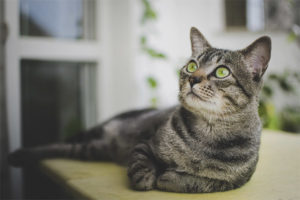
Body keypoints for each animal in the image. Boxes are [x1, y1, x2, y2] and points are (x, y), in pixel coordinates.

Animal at [9, 27, 272, 193]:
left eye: (222, 71)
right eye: (191, 66)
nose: (193, 79)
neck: (206, 135)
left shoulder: (235, 181)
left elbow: (201, 182)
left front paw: (171, 178)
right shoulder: (145, 144)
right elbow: (140, 163)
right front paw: (147, 178)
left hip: (93, 149)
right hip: (95, 138)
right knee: (58, 144)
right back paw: (19, 154)